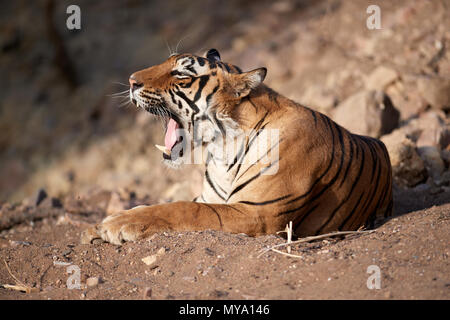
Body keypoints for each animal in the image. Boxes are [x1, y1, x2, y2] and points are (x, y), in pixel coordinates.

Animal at [81, 48, 394, 246]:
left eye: (181, 75)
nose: (131, 81)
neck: (222, 148)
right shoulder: (211, 198)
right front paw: (96, 226)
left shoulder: (258, 214)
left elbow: (182, 209)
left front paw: (116, 224)